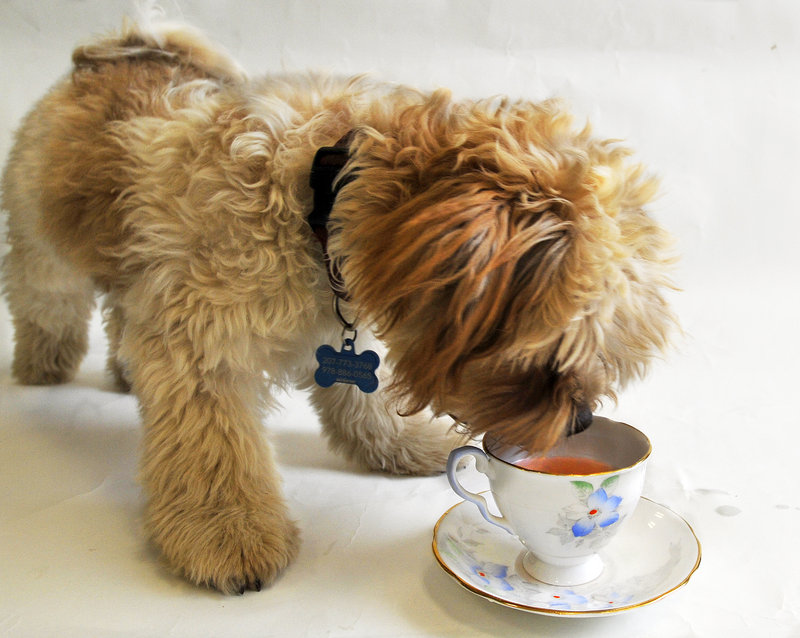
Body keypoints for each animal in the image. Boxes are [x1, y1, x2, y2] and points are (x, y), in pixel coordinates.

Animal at [0, 21, 680, 600]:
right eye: (548, 366)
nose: (581, 422)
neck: (314, 191)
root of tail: (125, 48)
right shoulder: (199, 350)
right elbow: (216, 458)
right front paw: (226, 534)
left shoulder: (347, 334)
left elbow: (363, 403)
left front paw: (401, 446)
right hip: (43, 252)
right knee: (48, 307)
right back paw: (43, 366)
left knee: (122, 316)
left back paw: (122, 372)